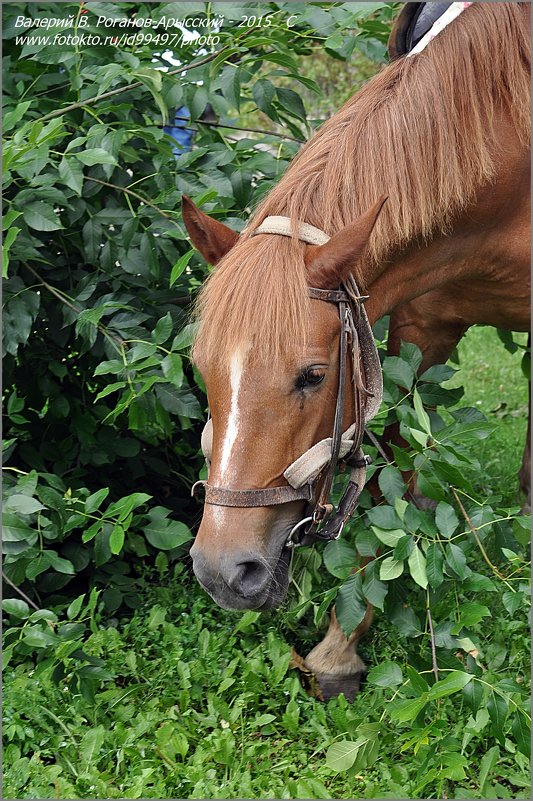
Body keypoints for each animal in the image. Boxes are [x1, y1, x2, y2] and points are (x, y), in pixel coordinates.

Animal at [182, 3, 528, 696]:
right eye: (202, 369)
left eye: (313, 376)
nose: (221, 571)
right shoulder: (421, 324)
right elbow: (393, 475)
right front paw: (340, 650)